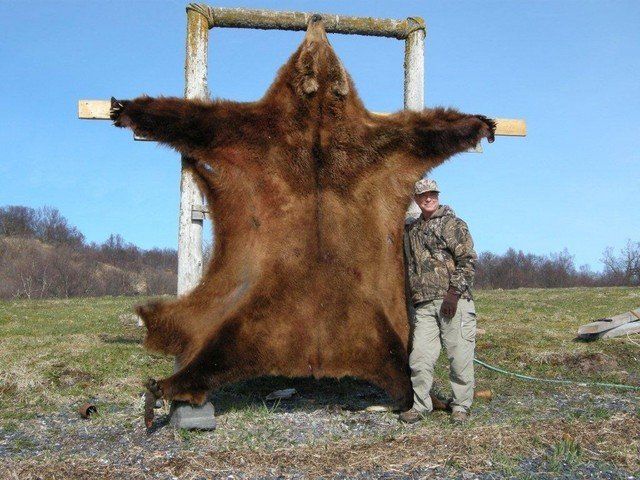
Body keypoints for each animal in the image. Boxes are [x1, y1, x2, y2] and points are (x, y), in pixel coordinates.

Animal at [109, 15, 495, 427]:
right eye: (307, 52)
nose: (317, 19)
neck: (318, 124)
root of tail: (316, 355)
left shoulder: (382, 144)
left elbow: (426, 133)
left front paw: (480, 123)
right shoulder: (253, 134)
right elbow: (196, 120)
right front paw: (126, 109)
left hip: (373, 323)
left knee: (399, 358)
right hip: (244, 314)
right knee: (210, 349)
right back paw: (167, 386)